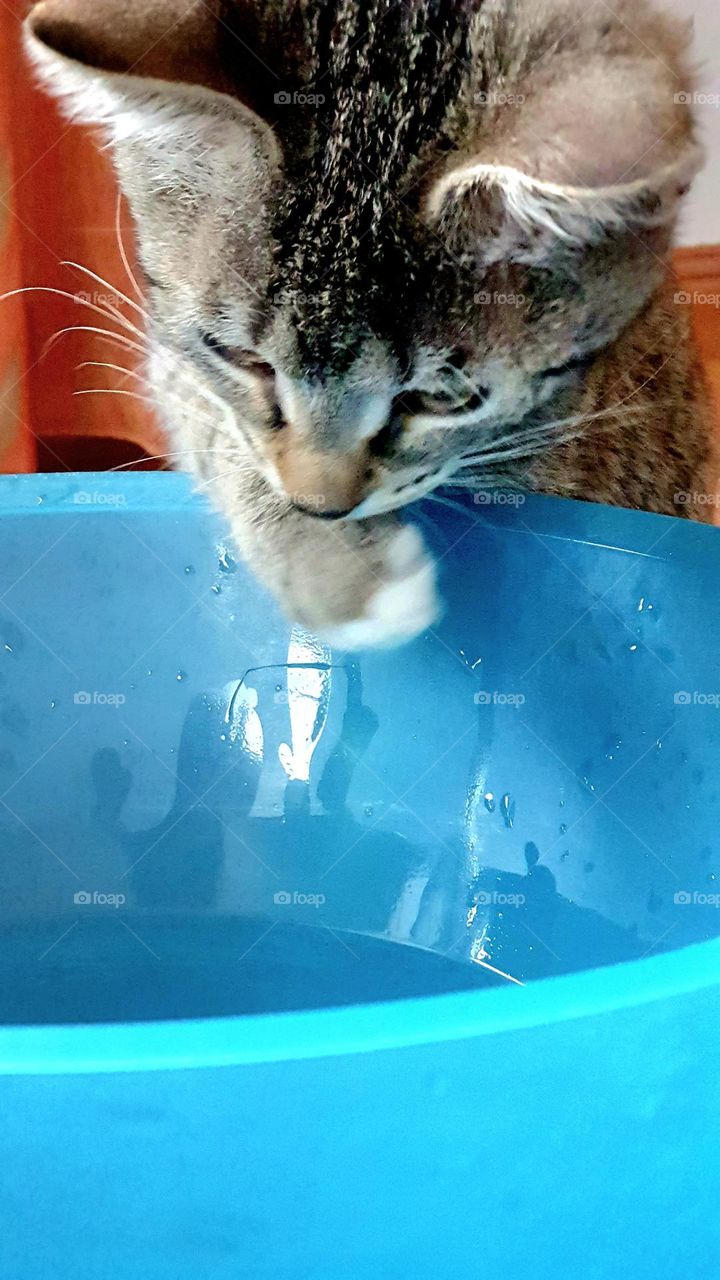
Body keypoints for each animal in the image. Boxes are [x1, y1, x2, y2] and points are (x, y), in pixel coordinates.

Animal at [25, 0, 712, 645]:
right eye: (243, 360)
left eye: (441, 400)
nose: (319, 507)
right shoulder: (173, 361)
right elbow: (214, 420)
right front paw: (340, 571)